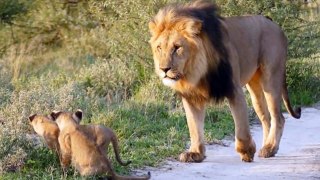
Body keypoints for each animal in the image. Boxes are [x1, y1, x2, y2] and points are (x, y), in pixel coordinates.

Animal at [149, 0, 302, 163]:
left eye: (177, 47)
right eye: (159, 48)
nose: (164, 69)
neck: (196, 70)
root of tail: (273, 23)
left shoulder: (234, 89)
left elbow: (241, 126)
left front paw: (246, 151)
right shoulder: (191, 96)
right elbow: (194, 127)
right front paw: (195, 153)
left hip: (271, 77)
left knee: (278, 118)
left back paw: (270, 148)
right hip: (255, 87)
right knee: (266, 118)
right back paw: (266, 147)